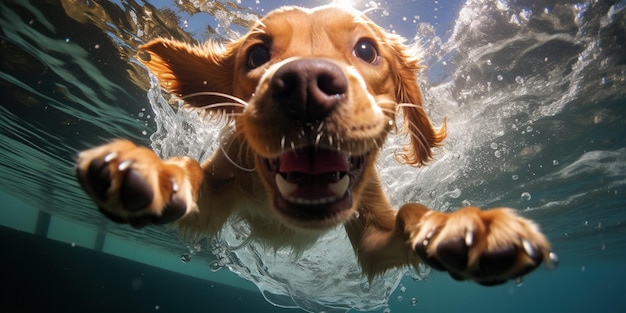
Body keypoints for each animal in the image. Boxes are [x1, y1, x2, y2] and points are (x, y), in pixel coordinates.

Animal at [77, 4, 552, 286]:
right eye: (256, 55)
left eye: (367, 49)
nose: (305, 85)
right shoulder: (214, 201)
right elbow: (192, 174)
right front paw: (152, 170)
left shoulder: (373, 235)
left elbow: (410, 213)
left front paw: (464, 225)